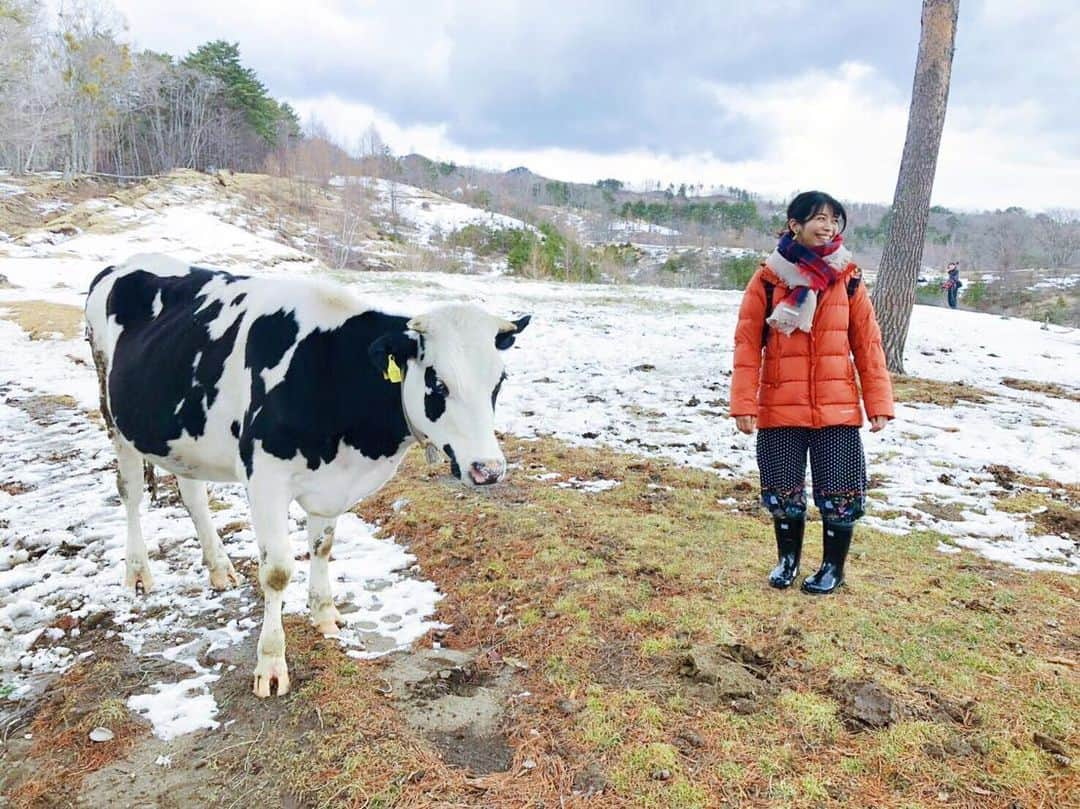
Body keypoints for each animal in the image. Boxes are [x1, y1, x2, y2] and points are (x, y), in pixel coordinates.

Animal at [87, 255, 531, 695]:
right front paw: (270, 664)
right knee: (130, 493)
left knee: (193, 495)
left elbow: (322, 547)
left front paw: (325, 615)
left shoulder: (332, 486)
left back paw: (219, 567)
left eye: (499, 381)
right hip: (113, 412)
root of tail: (122, 264)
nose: (489, 469)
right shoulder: (264, 479)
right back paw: (138, 572)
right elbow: (278, 572)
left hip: (182, 437)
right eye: (437, 381)